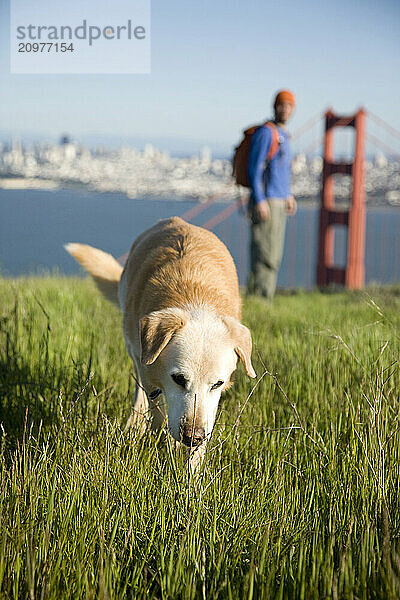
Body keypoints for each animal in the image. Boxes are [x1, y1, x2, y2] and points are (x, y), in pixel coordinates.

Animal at [64, 218, 255, 466]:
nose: (193, 437)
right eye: (179, 379)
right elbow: (158, 411)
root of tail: (175, 220)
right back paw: (136, 425)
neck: (195, 295)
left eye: (217, 384)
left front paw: (192, 472)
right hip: (133, 347)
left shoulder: (210, 406)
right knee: (142, 393)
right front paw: (166, 448)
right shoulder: (148, 369)